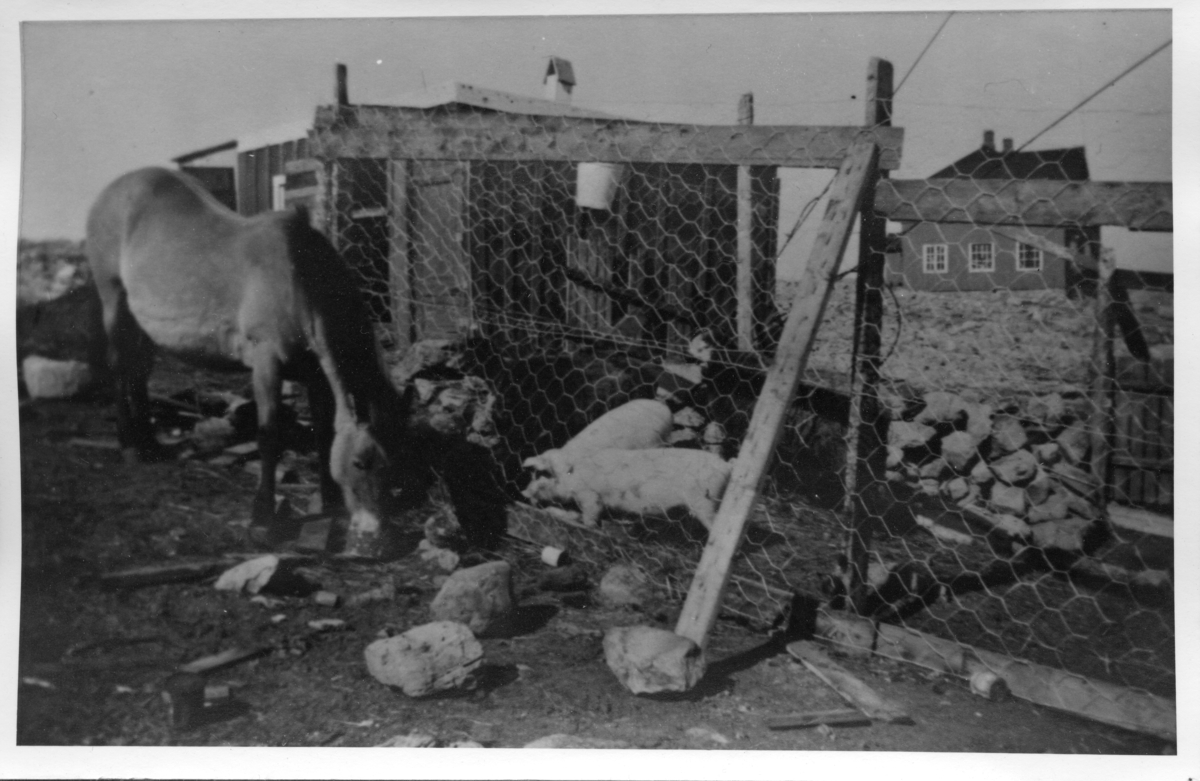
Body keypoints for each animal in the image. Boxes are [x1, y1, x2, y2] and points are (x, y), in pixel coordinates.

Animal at [84, 167, 412, 551]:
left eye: (396, 464)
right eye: (361, 462)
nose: (375, 534)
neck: (296, 275)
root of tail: (114, 189)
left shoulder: (316, 372)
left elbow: (322, 430)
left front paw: (328, 502)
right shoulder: (265, 361)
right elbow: (268, 434)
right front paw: (262, 518)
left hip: (143, 324)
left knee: (138, 373)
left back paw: (150, 445)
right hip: (114, 301)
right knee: (120, 368)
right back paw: (130, 447)